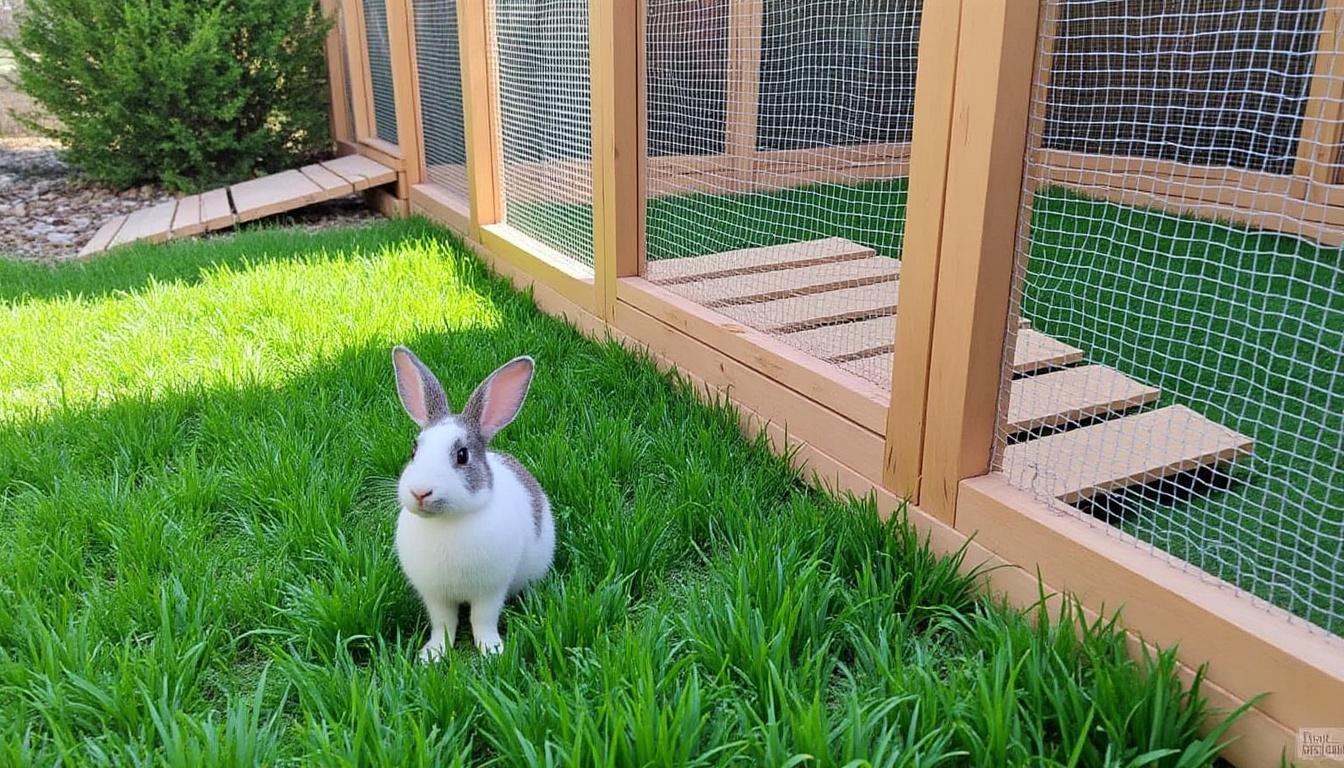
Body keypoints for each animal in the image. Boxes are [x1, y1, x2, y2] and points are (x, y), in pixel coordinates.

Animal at [390, 346, 556, 660]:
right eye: (414, 450)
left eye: (462, 455)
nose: (420, 492)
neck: (448, 522)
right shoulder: (435, 596)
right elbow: (443, 623)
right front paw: (432, 654)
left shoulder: (490, 591)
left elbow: (482, 620)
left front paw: (492, 651)